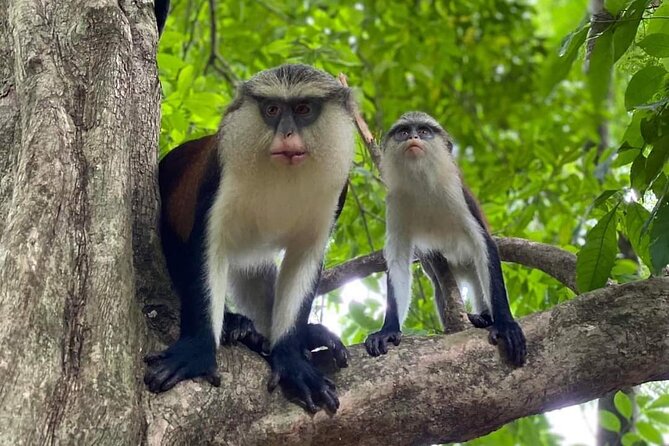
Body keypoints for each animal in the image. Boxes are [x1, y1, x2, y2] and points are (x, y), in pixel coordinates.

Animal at [144, 64, 356, 413]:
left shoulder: (336, 193)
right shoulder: (219, 176)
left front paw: (292, 359)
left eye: (303, 109)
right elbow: (207, 245)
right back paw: (237, 326)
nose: (286, 134)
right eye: (272, 110)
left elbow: (305, 257)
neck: (283, 176)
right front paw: (197, 351)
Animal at [364, 111, 527, 366]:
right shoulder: (396, 202)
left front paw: (505, 325)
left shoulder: (456, 192)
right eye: (403, 132)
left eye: (423, 131)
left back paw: (485, 318)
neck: (421, 182)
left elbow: (484, 244)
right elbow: (397, 260)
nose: (412, 138)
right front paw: (388, 331)